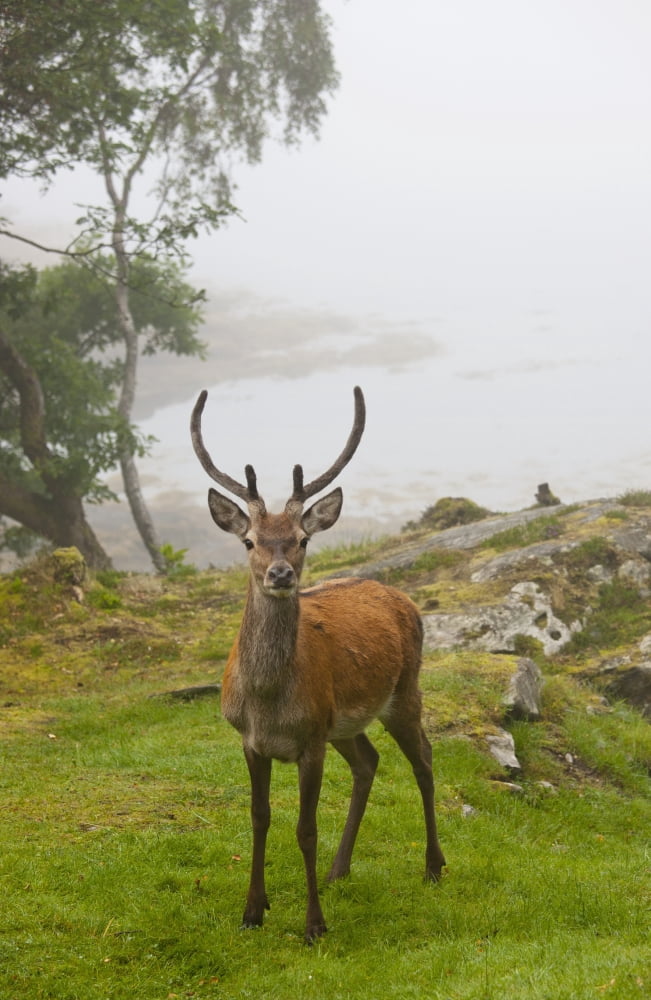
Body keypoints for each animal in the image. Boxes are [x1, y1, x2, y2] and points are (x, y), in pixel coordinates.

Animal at [190, 386, 446, 943]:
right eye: (249, 541)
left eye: (302, 540)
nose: (281, 573)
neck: (267, 702)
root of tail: (401, 597)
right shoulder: (252, 741)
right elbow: (259, 817)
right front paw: (252, 911)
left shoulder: (310, 741)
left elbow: (305, 829)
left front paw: (313, 925)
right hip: (343, 724)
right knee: (369, 761)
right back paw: (338, 869)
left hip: (403, 692)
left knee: (424, 758)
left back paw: (434, 865)